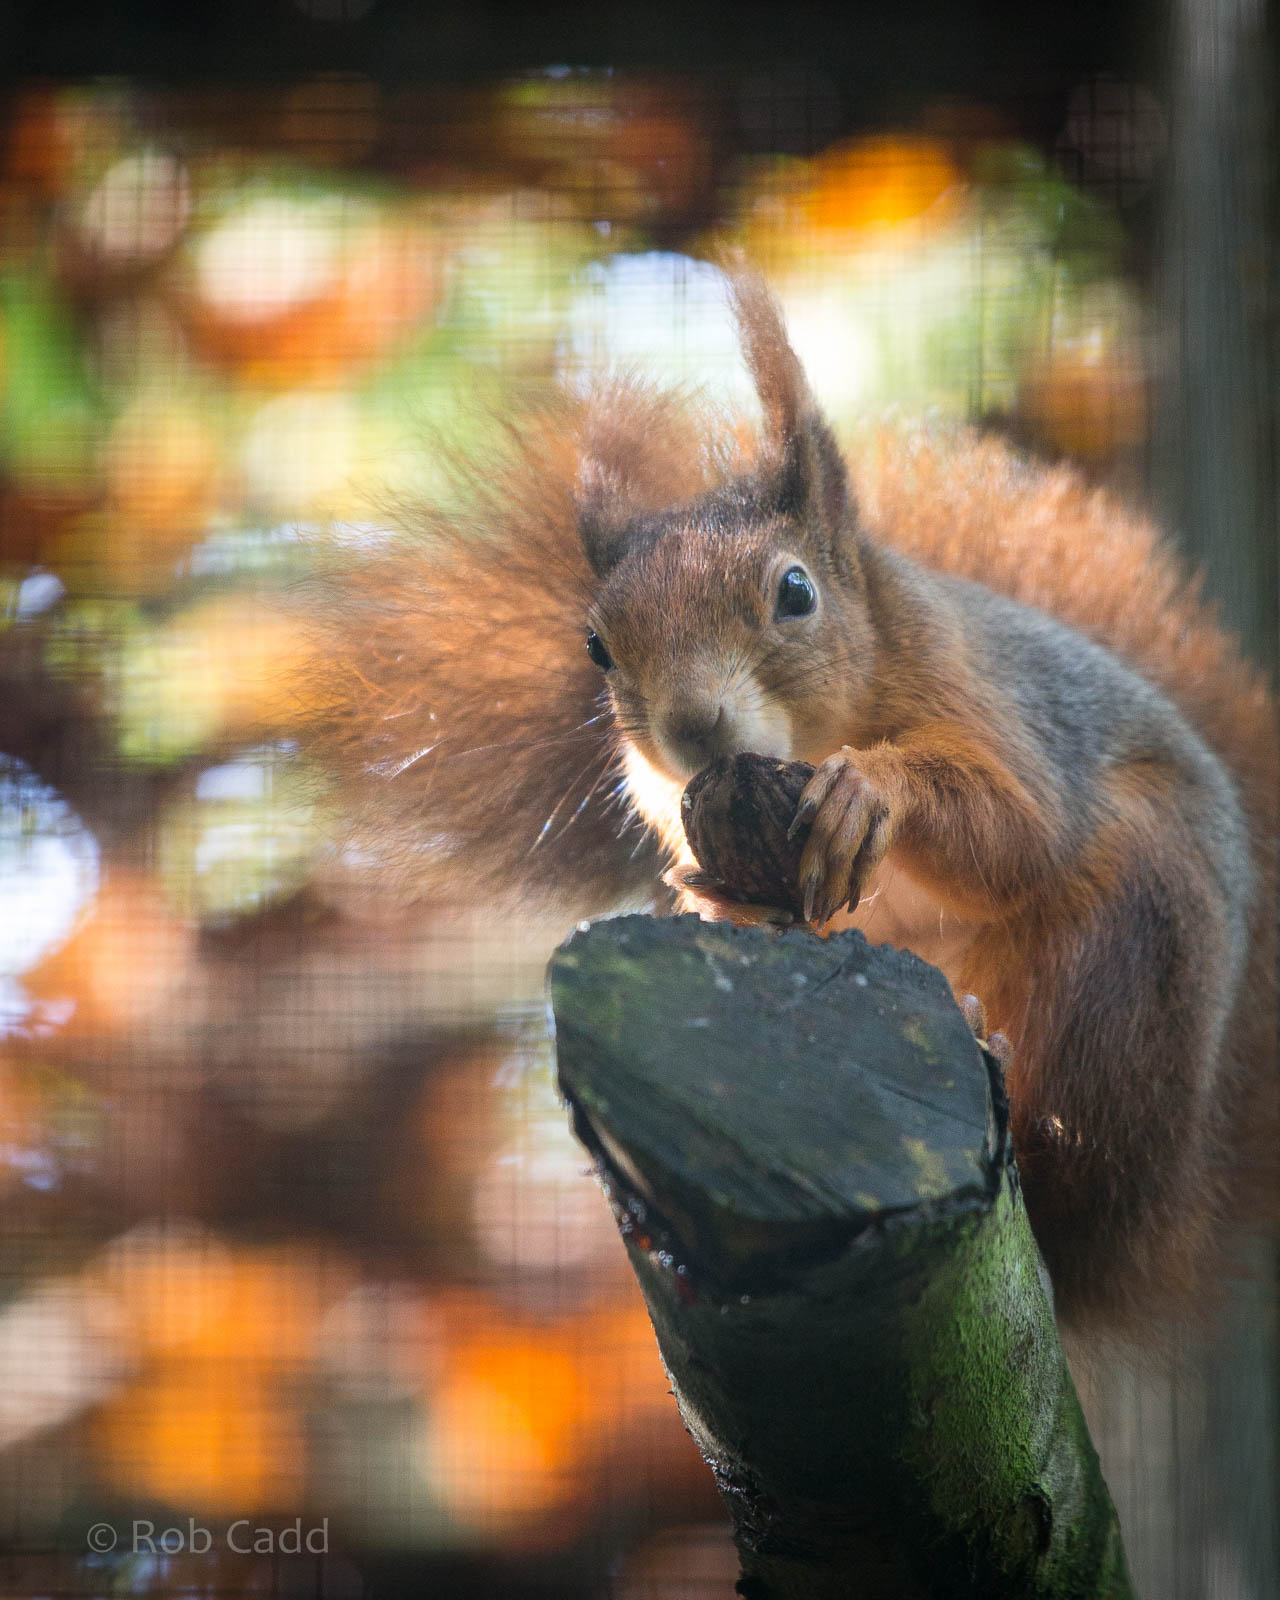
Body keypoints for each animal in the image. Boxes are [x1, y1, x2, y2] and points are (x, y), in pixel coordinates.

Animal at [313, 271, 1278, 1340]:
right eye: (599, 648)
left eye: (796, 593)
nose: (693, 724)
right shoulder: (667, 794)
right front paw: (715, 895)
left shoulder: (994, 700)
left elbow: (1021, 833)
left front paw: (872, 790)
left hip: (1137, 949)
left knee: (1075, 1156)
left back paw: (994, 1044)